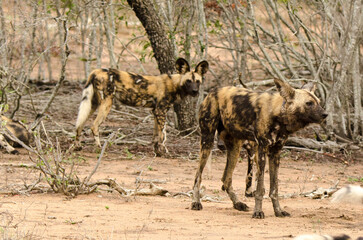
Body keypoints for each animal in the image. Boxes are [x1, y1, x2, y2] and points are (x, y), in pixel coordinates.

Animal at [75, 57, 209, 156]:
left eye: (197, 81)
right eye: (188, 81)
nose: (195, 91)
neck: (174, 84)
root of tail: (95, 71)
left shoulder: (155, 112)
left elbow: (156, 135)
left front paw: (157, 152)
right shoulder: (161, 111)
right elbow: (163, 135)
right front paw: (164, 152)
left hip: (92, 103)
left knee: (79, 124)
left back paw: (77, 146)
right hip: (107, 103)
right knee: (94, 126)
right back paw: (99, 148)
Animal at [192, 78, 328, 218]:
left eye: (318, 102)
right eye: (309, 103)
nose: (325, 114)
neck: (278, 115)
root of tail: (212, 91)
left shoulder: (275, 153)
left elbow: (274, 188)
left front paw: (278, 211)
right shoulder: (261, 150)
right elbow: (260, 189)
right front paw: (258, 211)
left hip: (235, 148)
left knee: (226, 179)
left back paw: (238, 204)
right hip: (207, 141)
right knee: (198, 176)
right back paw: (196, 202)